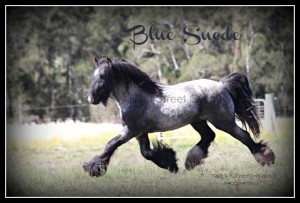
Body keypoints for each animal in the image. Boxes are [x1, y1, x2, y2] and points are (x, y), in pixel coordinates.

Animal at [83, 56, 276, 177]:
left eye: (103, 76)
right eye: (93, 76)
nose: (91, 99)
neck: (136, 96)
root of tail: (222, 85)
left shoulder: (130, 131)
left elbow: (110, 145)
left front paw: (93, 169)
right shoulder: (140, 133)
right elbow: (147, 153)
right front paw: (171, 163)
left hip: (223, 122)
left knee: (243, 136)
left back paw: (266, 158)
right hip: (198, 121)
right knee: (209, 136)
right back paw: (191, 161)